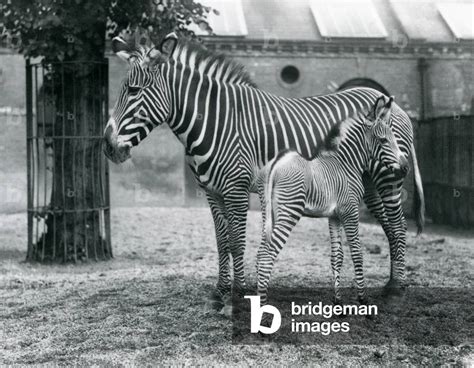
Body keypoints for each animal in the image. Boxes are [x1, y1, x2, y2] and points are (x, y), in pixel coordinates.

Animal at [260, 95, 408, 304]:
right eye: (383, 140)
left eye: (394, 139)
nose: (405, 168)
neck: (346, 163)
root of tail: (277, 162)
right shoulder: (350, 211)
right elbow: (357, 253)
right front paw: (362, 299)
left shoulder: (335, 216)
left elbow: (337, 256)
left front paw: (338, 300)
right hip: (289, 211)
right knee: (267, 255)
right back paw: (262, 304)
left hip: (269, 213)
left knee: (261, 253)